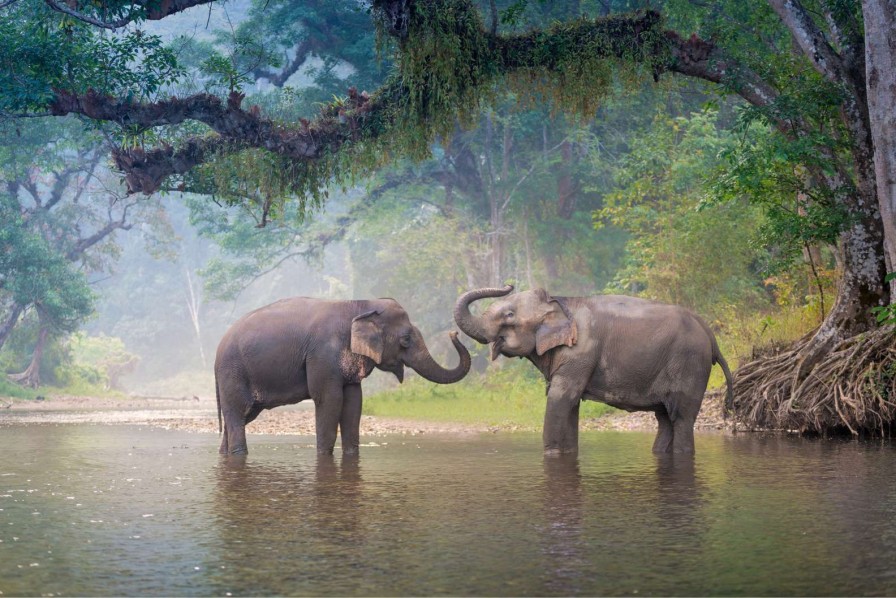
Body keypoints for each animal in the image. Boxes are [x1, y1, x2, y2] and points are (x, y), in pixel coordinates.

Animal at [214, 298, 472, 458]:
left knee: (242, 416)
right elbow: (329, 400)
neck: (359, 304)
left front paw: (351, 455)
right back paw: (238, 454)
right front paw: (324, 456)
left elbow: (354, 402)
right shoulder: (322, 355)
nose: (454, 333)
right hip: (233, 372)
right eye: (406, 339)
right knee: (237, 414)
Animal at [456, 288, 736, 458]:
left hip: (690, 364)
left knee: (681, 418)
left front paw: (551, 456)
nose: (508, 283)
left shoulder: (580, 352)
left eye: (509, 315)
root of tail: (710, 335)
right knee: (665, 418)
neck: (560, 301)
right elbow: (570, 405)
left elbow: (561, 398)